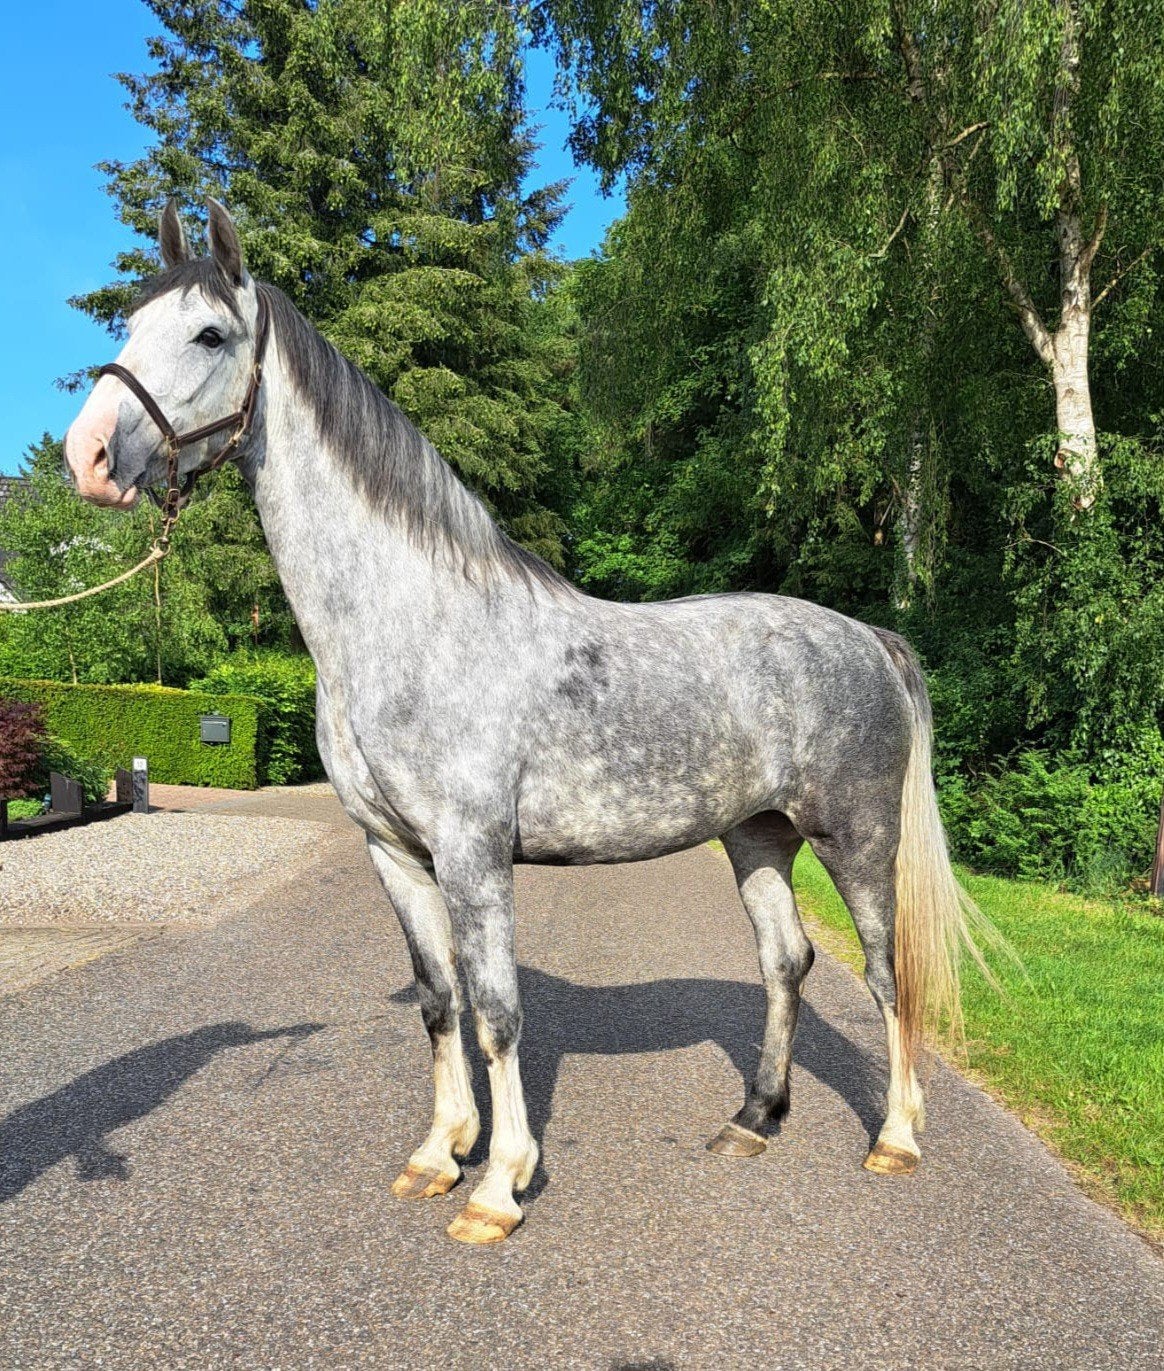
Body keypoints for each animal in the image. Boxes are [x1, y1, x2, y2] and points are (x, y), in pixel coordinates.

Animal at [64, 200, 980, 1244]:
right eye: (130, 324)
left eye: (210, 334)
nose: (88, 458)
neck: (410, 622)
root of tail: (870, 639)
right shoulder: (395, 851)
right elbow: (439, 1000)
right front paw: (438, 1153)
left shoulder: (473, 852)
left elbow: (498, 1011)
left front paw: (499, 1185)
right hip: (756, 836)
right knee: (787, 961)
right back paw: (753, 1118)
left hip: (856, 840)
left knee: (887, 973)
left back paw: (896, 1139)